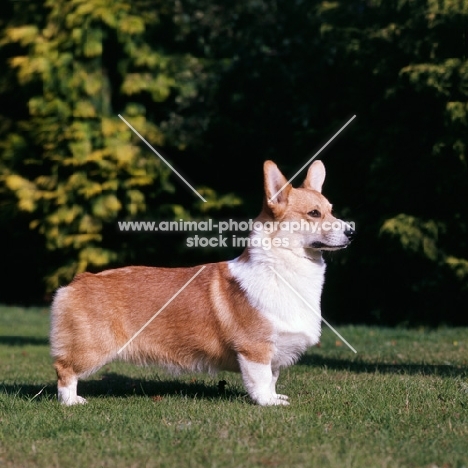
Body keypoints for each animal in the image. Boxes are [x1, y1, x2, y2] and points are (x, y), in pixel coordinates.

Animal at [49, 160, 352, 406]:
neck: (283, 269)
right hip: (92, 347)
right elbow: (261, 380)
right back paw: (72, 402)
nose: (352, 231)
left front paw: (276, 397)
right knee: (64, 370)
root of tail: (78, 280)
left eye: (331, 211)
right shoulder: (254, 349)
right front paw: (268, 404)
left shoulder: (275, 348)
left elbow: (273, 378)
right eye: (314, 213)